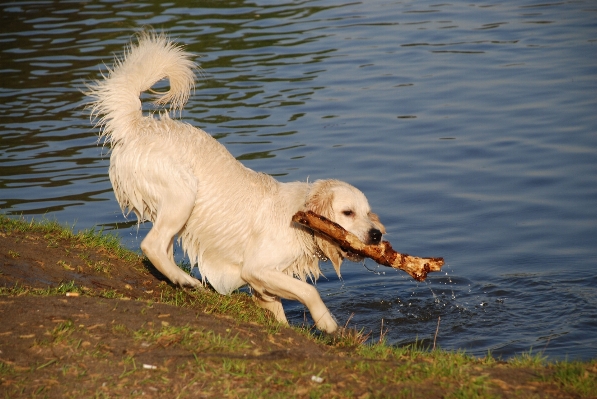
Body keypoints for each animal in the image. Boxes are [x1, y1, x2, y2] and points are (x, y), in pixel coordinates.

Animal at [87, 32, 386, 334]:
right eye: (348, 212)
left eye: (367, 212)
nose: (377, 235)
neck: (302, 222)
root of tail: (138, 126)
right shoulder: (256, 268)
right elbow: (309, 291)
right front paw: (328, 324)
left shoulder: (264, 281)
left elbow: (277, 308)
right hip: (183, 193)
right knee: (152, 245)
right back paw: (186, 280)